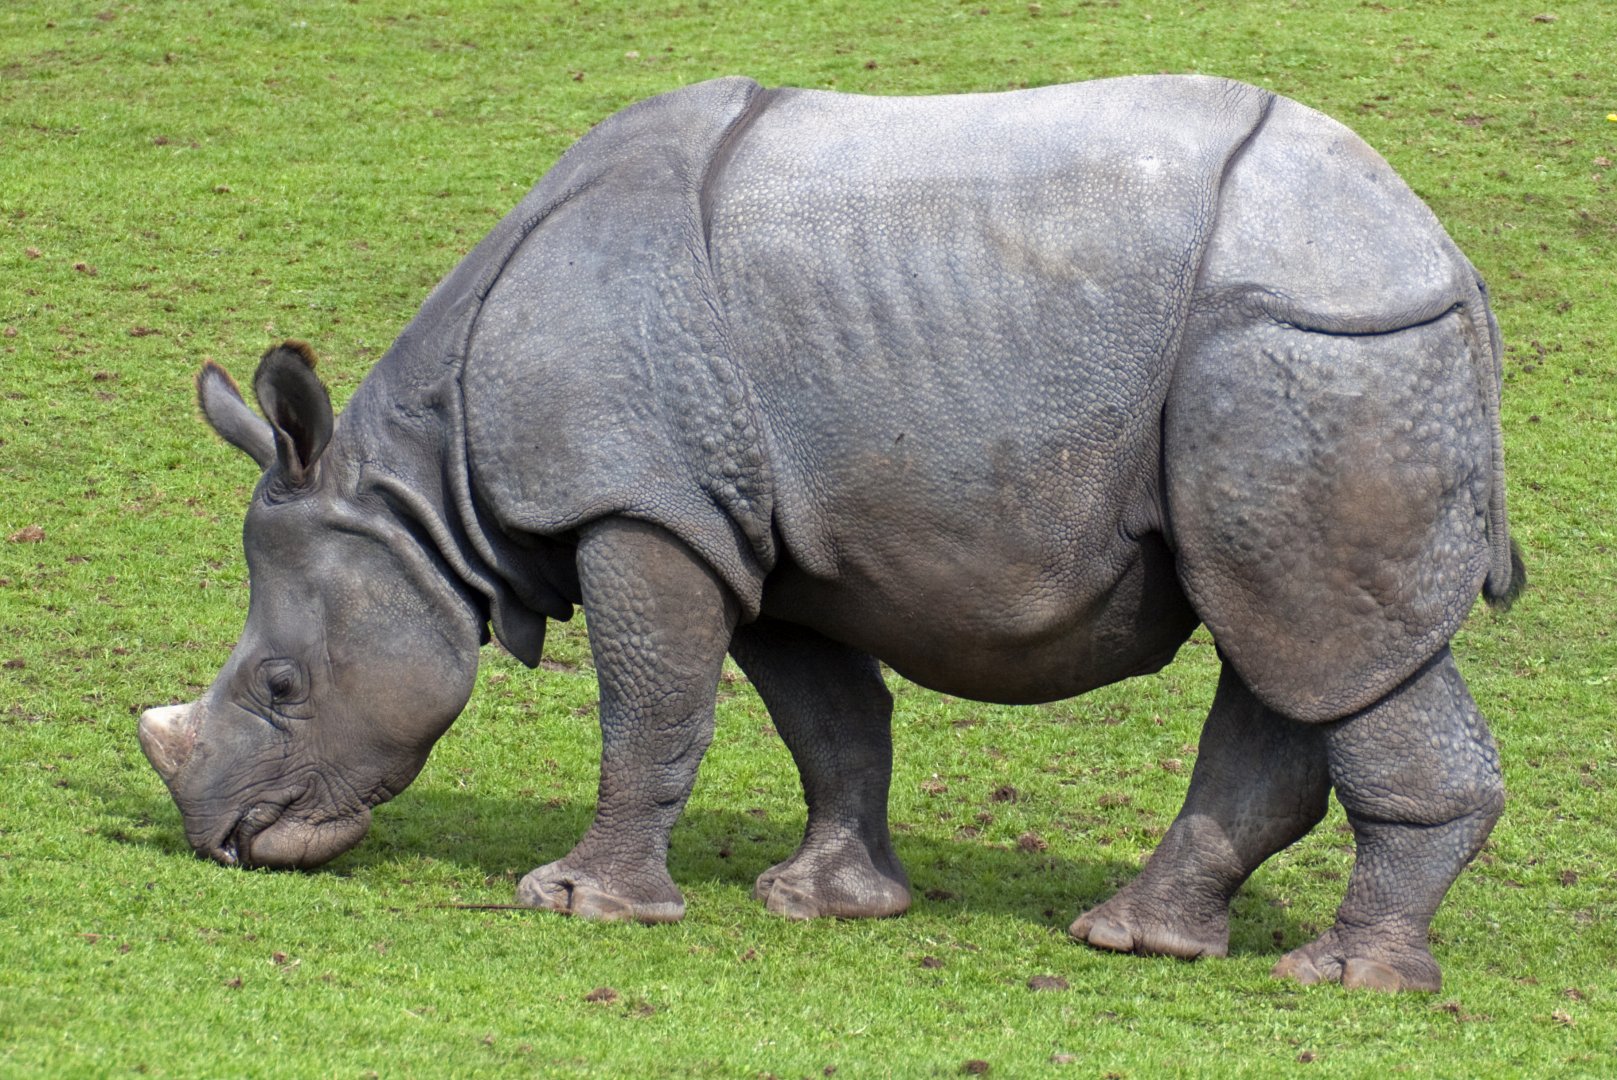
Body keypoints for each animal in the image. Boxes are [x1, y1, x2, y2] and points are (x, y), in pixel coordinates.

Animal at [140, 74, 1523, 992]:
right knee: (1291, 652)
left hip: (1312, 348)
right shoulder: (758, 534)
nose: (223, 842)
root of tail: (1443, 251)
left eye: (280, 684)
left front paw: (579, 904)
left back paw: (1337, 979)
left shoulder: (645, 503)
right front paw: (824, 906)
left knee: (1321, 649)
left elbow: (650, 706)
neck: (426, 494)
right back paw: (1137, 937)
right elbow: (829, 720)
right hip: (1300, 359)